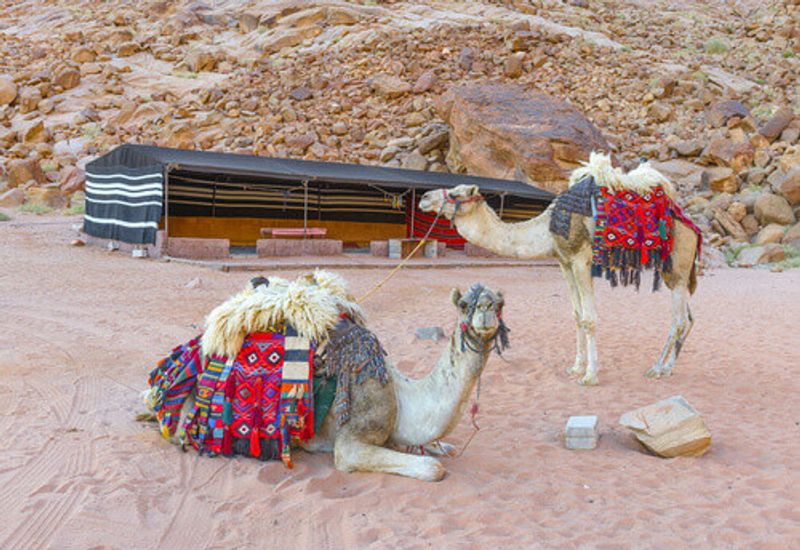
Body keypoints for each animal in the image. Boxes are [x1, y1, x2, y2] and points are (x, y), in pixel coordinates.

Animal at [418, 154, 700, 388]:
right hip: (672, 271)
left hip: (679, 264)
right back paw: (668, 368)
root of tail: (693, 228)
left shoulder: (581, 260)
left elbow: (589, 318)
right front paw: (576, 368)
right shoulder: (565, 263)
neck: (548, 227)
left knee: (678, 320)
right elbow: (577, 315)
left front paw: (590, 376)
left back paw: (656, 368)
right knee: (688, 319)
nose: (423, 198)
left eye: (455, 194)